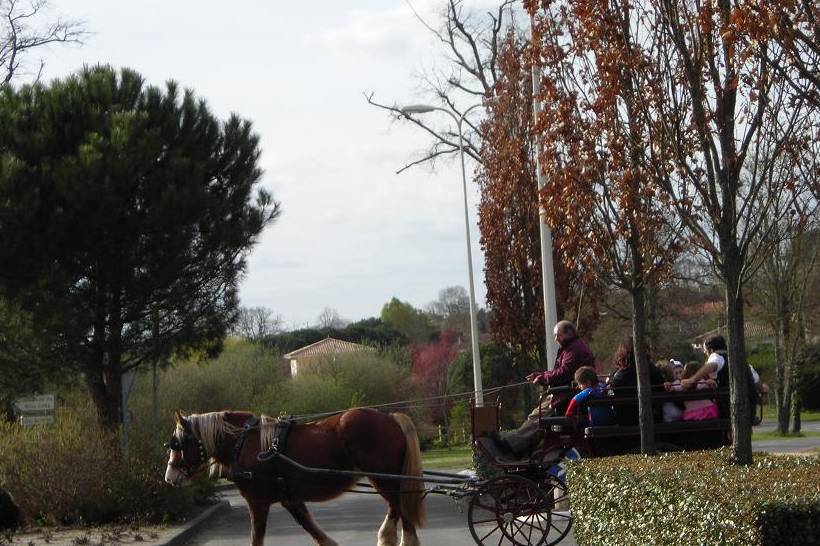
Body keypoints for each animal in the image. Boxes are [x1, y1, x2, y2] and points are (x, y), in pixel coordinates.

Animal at [164, 406, 426, 544]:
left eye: (178, 444)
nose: (169, 477)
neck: (243, 442)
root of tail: (389, 417)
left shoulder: (257, 501)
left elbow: (257, 535)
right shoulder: (290, 499)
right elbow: (311, 528)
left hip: (384, 477)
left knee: (400, 510)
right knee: (396, 508)